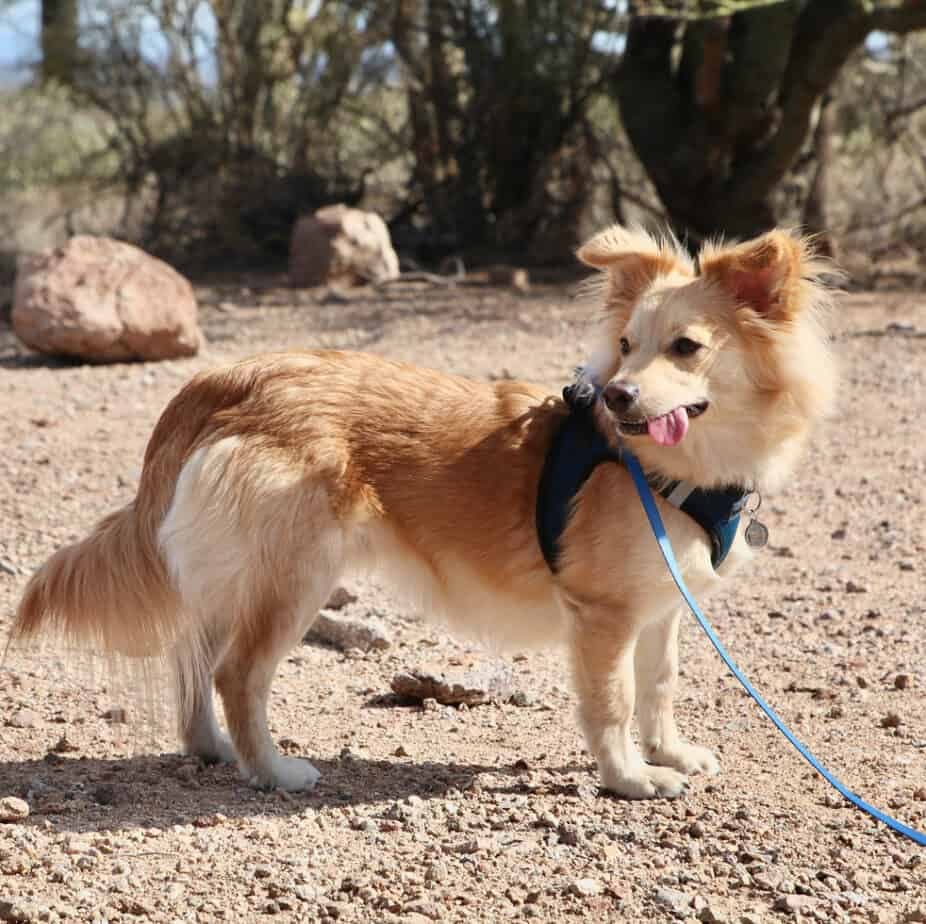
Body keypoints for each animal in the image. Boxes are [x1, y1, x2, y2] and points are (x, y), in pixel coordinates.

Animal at [9, 224, 832, 796]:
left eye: (686, 347)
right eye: (627, 345)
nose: (620, 395)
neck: (675, 471)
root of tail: (229, 379)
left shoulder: (660, 607)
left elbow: (659, 686)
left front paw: (670, 753)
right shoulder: (603, 614)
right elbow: (615, 700)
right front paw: (630, 778)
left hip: (238, 572)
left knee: (196, 659)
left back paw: (212, 751)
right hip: (295, 578)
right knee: (237, 674)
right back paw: (273, 770)